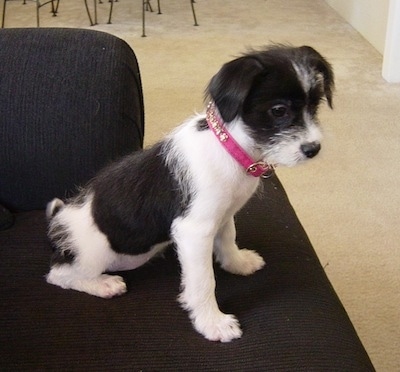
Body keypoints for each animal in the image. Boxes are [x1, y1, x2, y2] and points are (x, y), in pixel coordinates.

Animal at [46, 45, 334, 342]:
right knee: (59, 274)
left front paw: (237, 263)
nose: (313, 149)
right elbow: (204, 281)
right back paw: (102, 284)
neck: (231, 149)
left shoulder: (223, 214)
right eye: (279, 110)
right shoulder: (194, 232)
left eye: (315, 105)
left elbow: (228, 239)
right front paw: (212, 322)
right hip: (94, 253)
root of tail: (57, 220)